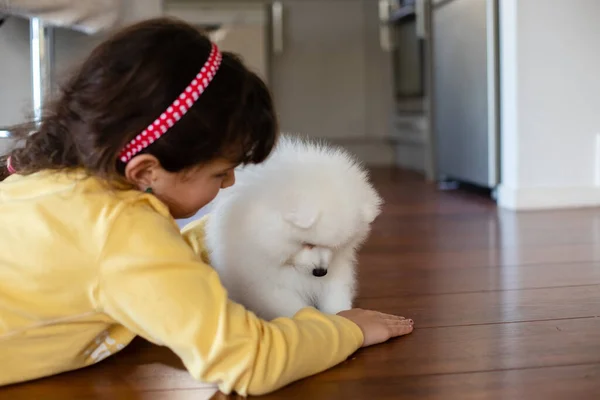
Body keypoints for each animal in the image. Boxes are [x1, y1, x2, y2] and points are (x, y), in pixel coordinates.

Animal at [204, 136, 382, 320]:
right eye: (307, 243)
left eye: (337, 246)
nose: (320, 272)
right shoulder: (266, 282)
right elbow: (292, 309)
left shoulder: (337, 268)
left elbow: (335, 294)